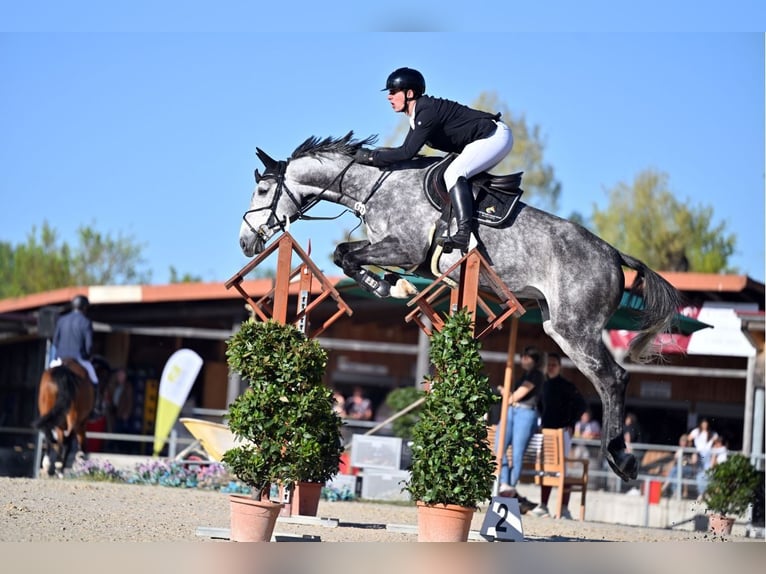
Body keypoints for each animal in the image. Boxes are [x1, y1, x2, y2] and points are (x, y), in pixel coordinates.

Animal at [238, 132, 683, 482]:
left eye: (262, 191)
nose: (245, 242)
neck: (375, 187)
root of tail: (613, 254)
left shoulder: (404, 247)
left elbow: (345, 254)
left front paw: (389, 285)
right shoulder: (397, 250)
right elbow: (345, 254)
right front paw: (390, 284)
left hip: (573, 329)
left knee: (613, 378)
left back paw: (621, 458)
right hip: (558, 323)